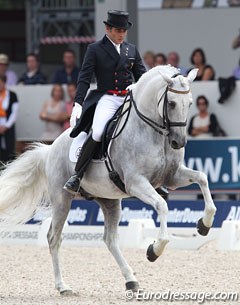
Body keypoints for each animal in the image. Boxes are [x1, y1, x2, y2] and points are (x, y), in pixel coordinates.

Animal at [0, 64, 216, 294]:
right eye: (172, 103)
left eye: (190, 103)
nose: (179, 142)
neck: (153, 133)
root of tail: (50, 148)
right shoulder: (136, 183)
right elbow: (162, 205)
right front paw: (155, 249)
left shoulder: (172, 177)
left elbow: (202, 178)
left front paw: (204, 224)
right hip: (62, 199)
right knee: (54, 238)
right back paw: (62, 286)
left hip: (109, 201)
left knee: (110, 239)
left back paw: (131, 280)